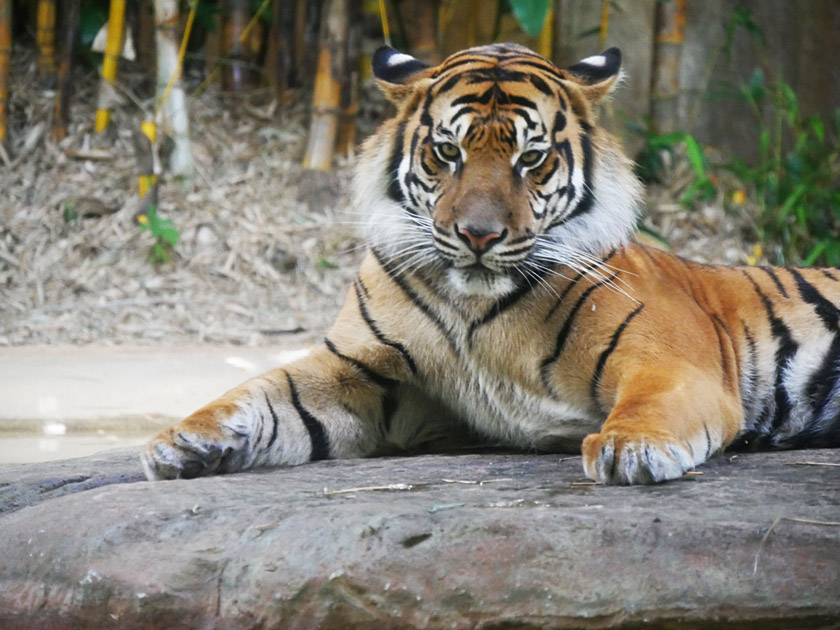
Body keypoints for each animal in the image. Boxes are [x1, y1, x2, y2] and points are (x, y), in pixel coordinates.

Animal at [141, 44, 840, 486]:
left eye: (531, 158)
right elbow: (264, 391)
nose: (477, 234)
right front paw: (182, 439)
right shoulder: (362, 370)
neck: (472, 306)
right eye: (447, 151)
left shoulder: (672, 362)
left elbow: (651, 402)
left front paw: (631, 447)